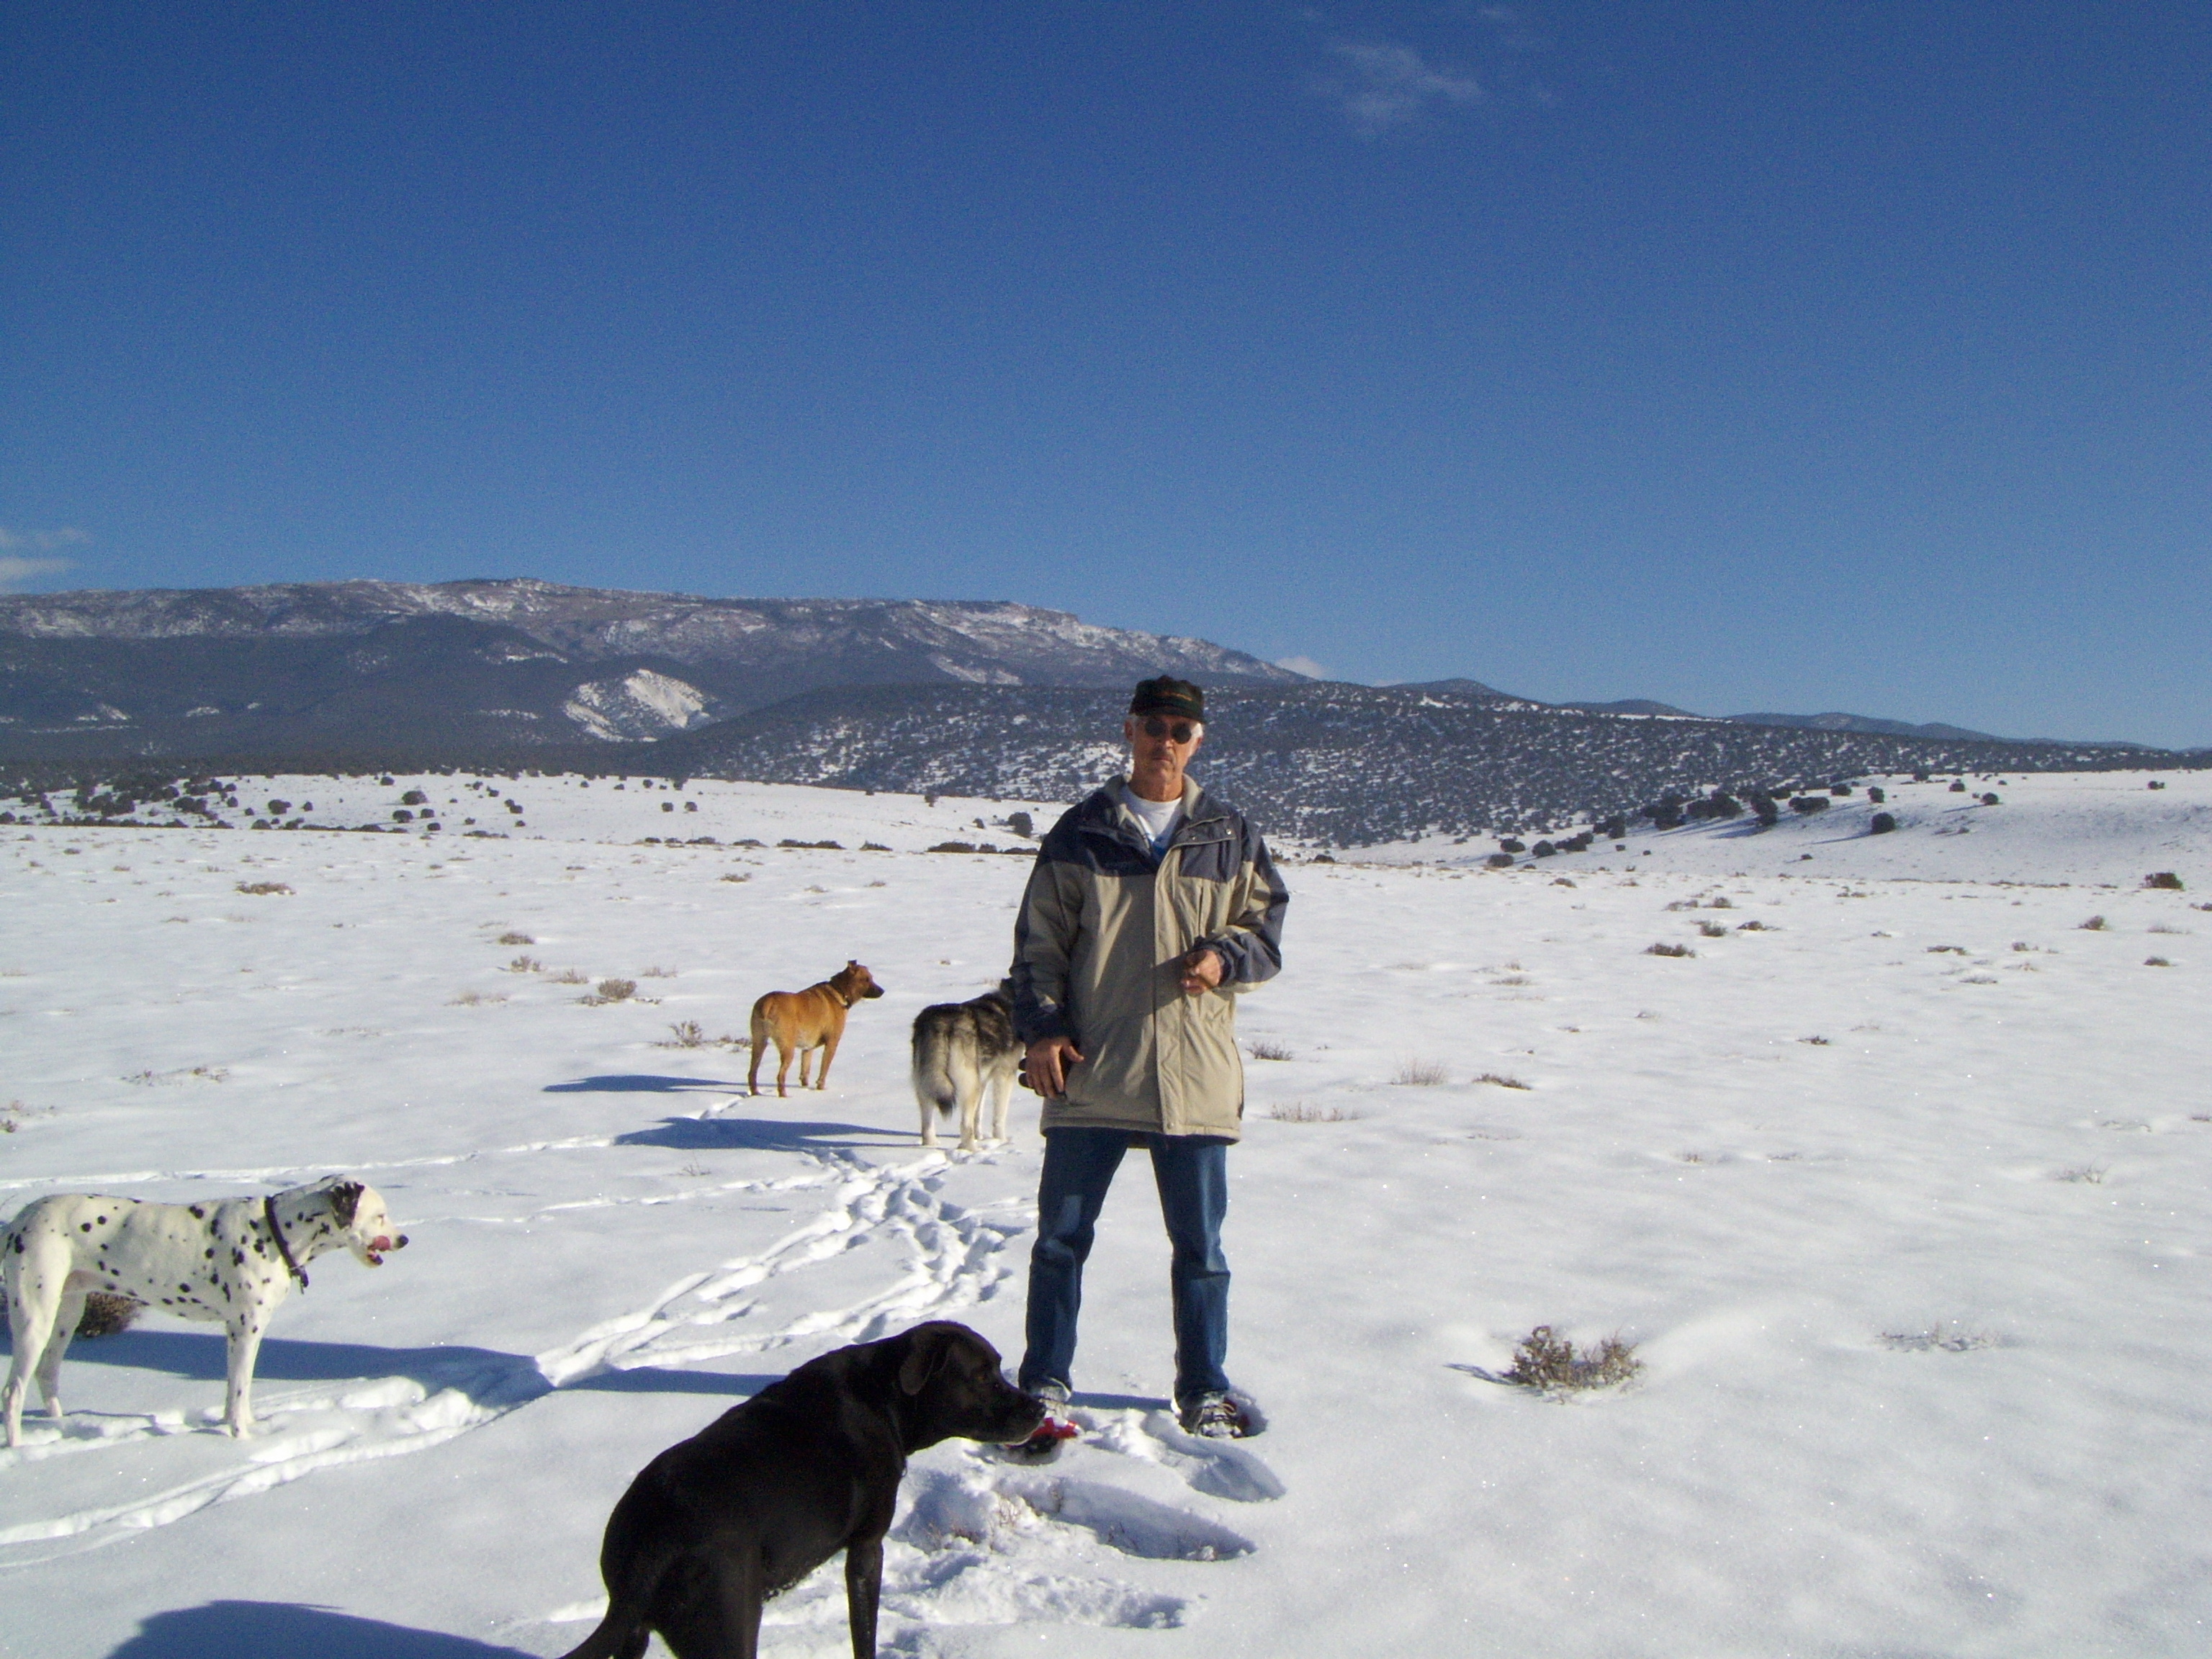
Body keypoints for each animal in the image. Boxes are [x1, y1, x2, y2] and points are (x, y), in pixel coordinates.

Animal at [4, 1175, 408, 1446]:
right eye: (380, 1216)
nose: (404, 1239)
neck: (274, 1230)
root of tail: (17, 1222)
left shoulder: (237, 1333)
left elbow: (236, 1392)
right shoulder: (246, 1330)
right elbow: (240, 1391)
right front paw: (243, 1439)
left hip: (66, 1317)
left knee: (47, 1374)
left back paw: (59, 1426)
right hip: (34, 1321)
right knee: (12, 1393)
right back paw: (18, 1447)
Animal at [557, 1320, 1044, 1659]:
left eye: (999, 1368)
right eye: (981, 1376)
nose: (1040, 1408)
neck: (884, 1397)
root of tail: (652, 1540)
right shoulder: (867, 1547)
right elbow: (864, 1634)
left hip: (634, 1632)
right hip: (727, 1627)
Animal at [747, 960, 885, 1098]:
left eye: (871, 978)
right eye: (866, 979)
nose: (882, 991)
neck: (840, 991)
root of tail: (768, 1003)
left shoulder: (808, 1048)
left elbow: (805, 1073)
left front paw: (805, 1088)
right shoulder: (832, 1043)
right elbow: (823, 1070)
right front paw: (821, 1088)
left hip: (759, 1042)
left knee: (752, 1073)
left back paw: (755, 1093)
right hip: (787, 1048)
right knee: (780, 1075)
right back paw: (784, 1096)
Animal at [911, 980, 1022, 1151]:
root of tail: (942, 1023)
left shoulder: (983, 1080)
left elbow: (978, 1115)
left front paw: (980, 1136)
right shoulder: (1005, 1075)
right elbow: (999, 1118)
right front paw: (1001, 1141)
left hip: (927, 1086)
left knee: (927, 1125)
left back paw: (931, 1145)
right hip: (968, 1087)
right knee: (964, 1125)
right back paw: (973, 1150)